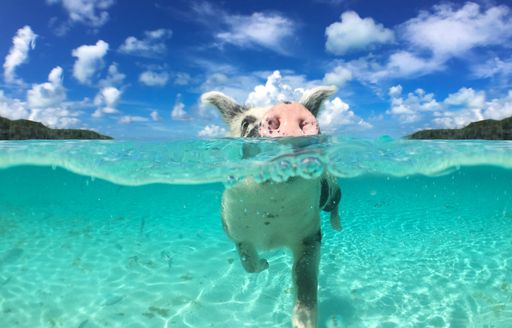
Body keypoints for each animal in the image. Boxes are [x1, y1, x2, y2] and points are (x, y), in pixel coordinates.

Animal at [202, 86, 342, 326]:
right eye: (245, 123)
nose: (289, 109)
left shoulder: (310, 235)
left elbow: (305, 279)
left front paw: (303, 322)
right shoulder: (233, 226)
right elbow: (247, 261)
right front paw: (266, 264)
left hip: (331, 189)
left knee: (335, 203)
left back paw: (337, 226)